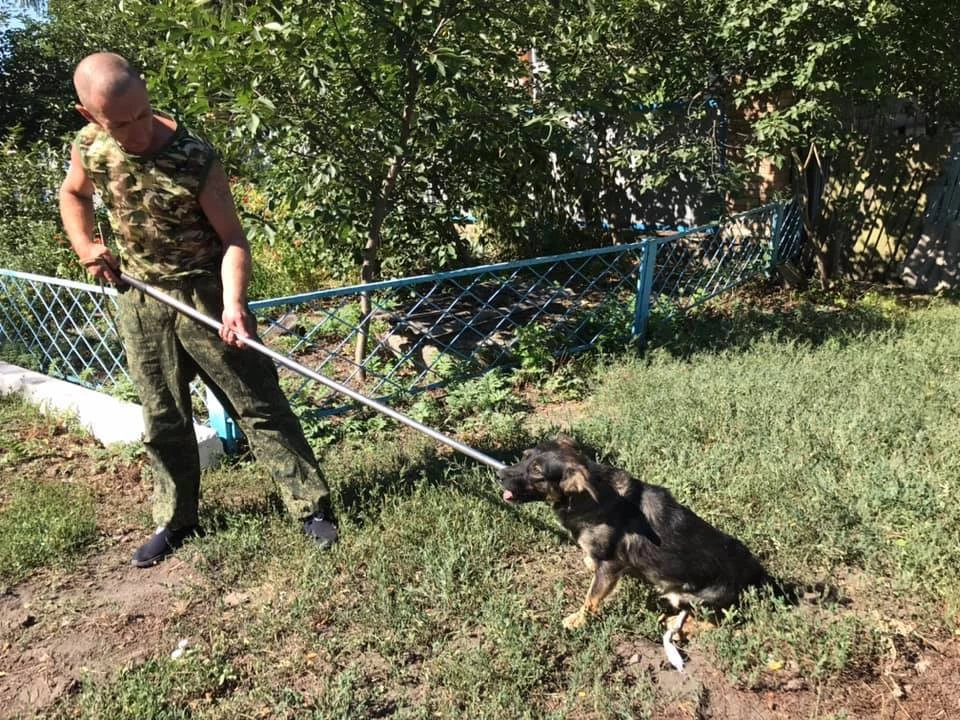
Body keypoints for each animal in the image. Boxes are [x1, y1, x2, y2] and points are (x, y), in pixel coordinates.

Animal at [498, 434, 768, 668]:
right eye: (524, 456)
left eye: (537, 472)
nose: (499, 474)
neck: (587, 497)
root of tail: (758, 577)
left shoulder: (610, 566)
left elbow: (591, 598)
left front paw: (578, 619)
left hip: (692, 597)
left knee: (717, 622)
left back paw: (677, 623)